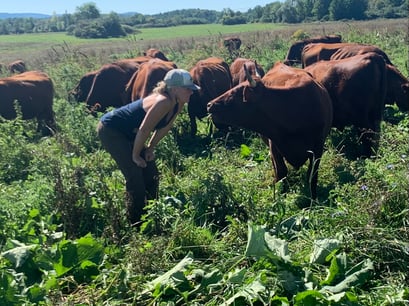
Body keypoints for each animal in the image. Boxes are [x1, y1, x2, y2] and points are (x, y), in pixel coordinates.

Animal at [207, 63, 332, 200]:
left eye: (234, 93)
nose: (209, 104)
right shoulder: (274, 146)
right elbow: (281, 171)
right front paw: (279, 196)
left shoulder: (318, 147)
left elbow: (312, 175)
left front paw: (313, 199)